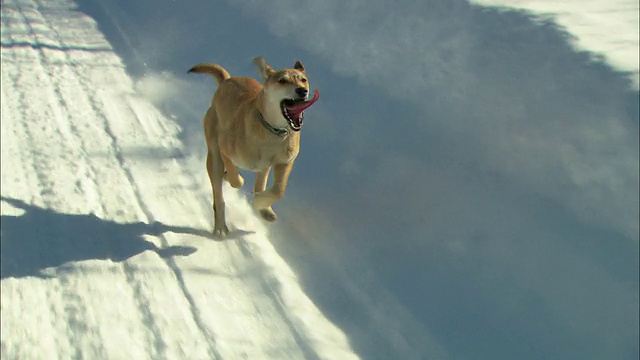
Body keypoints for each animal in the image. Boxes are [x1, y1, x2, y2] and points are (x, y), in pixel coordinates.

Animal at [189, 57, 320, 238]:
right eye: (282, 81)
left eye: (303, 79)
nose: (302, 91)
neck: (273, 131)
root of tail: (226, 80)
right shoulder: (225, 150)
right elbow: (237, 180)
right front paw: (233, 178)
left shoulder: (286, 161)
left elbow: (279, 189)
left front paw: (260, 202)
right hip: (214, 152)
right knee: (219, 196)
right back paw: (221, 227)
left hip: (263, 165)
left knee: (260, 181)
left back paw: (264, 209)